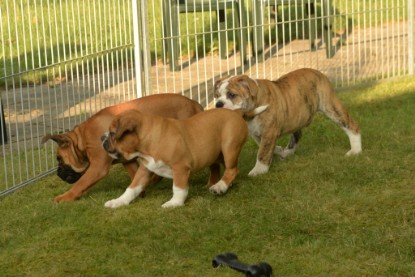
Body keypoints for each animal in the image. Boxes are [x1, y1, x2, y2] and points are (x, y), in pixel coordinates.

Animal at [41, 92, 203, 201]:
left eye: (59, 158)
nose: (58, 173)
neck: (82, 139)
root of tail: (194, 103)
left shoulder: (98, 167)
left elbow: (81, 183)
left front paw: (65, 197)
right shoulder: (128, 161)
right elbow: (135, 175)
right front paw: (140, 191)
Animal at [216, 67, 362, 175]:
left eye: (232, 95)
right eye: (216, 96)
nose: (218, 104)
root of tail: (319, 73)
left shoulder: (269, 132)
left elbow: (263, 152)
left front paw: (258, 170)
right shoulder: (257, 133)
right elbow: (265, 147)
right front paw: (279, 151)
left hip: (331, 107)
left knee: (351, 126)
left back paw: (355, 150)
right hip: (297, 116)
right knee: (297, 134)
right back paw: (288, 152)